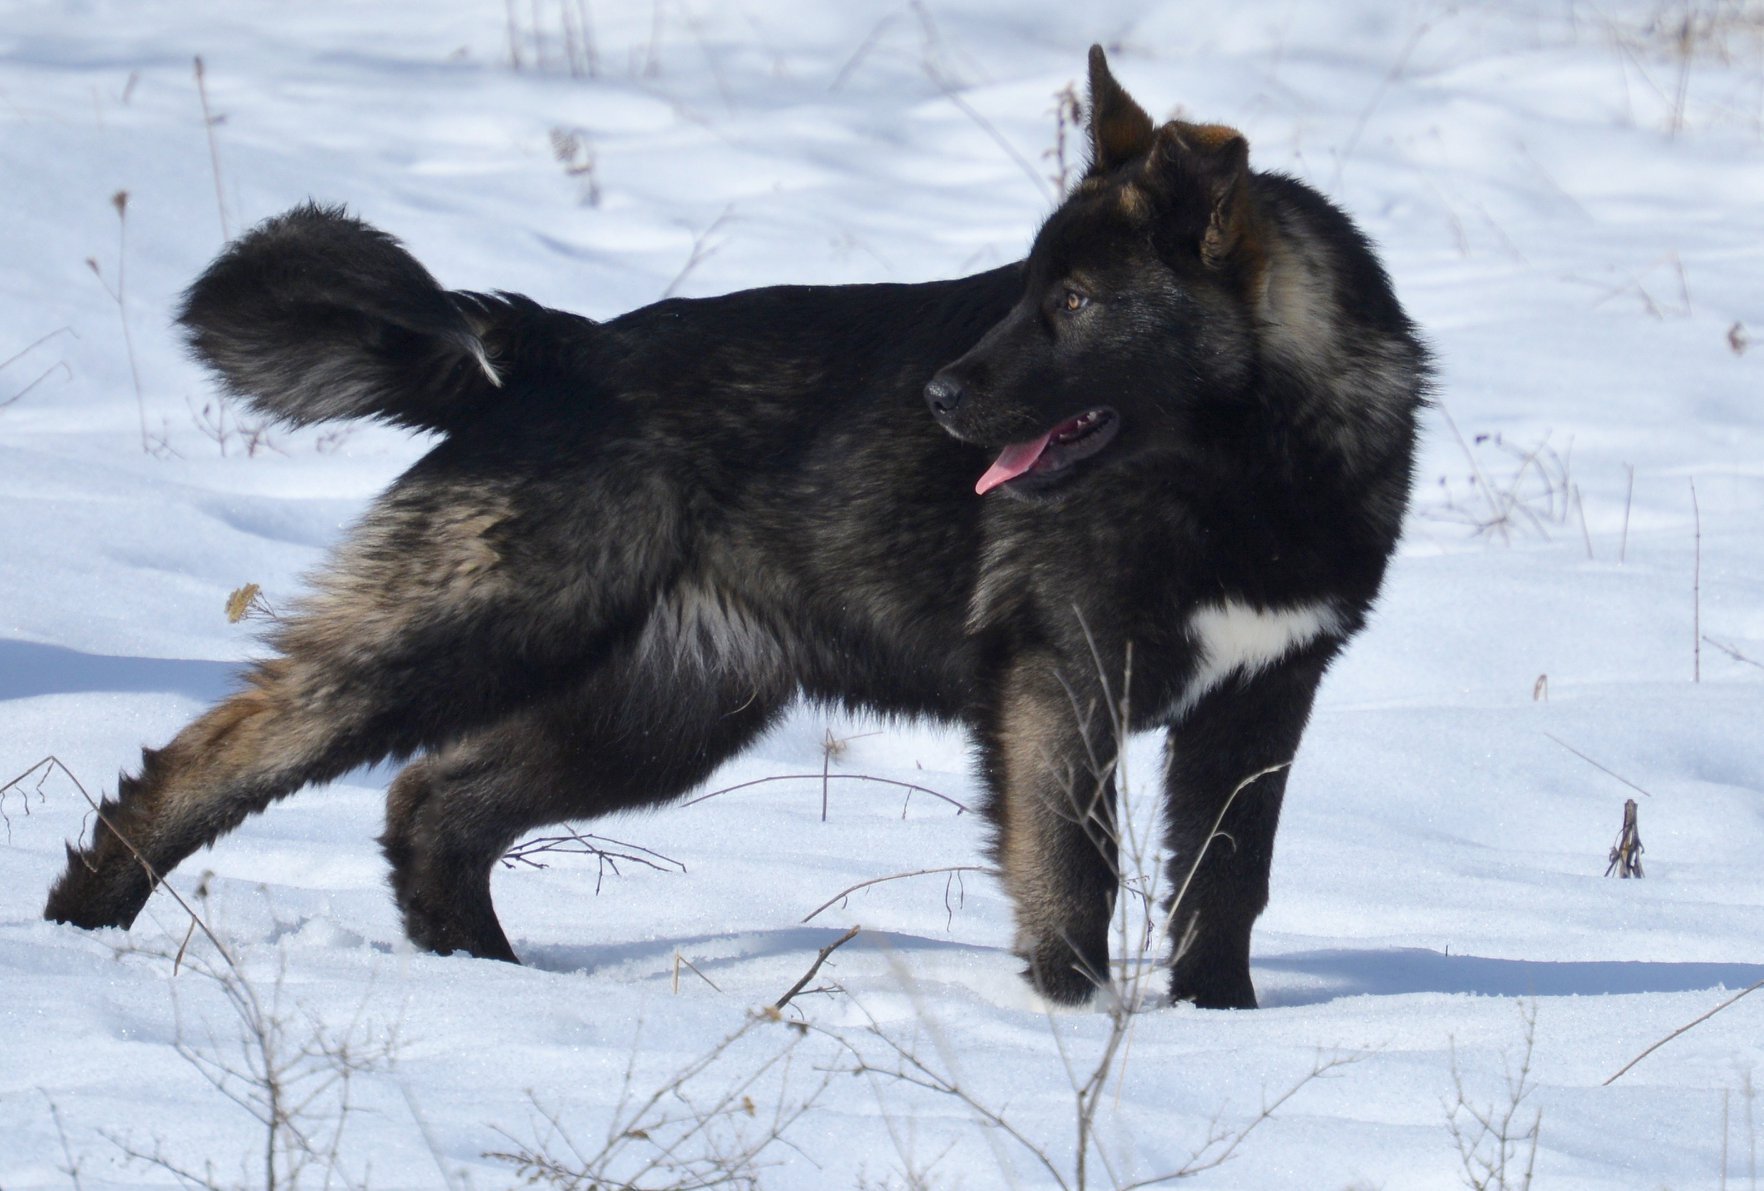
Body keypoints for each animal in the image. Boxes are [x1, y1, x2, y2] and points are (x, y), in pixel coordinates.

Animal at [44, 51, 1418, 1009]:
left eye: (1075, 303)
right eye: (1032, 289)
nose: (938, 397)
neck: (1249, 470)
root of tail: (555, 350)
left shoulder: (1258, 705)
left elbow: (1226, 888)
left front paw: (1216, 1029)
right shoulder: (1059, 687)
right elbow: (1073, 879)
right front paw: (1073, 1034)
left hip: (657, 713)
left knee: (434, 805)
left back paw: (489, 984)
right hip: (476, 635)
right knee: (227, 751)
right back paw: (83, 922)